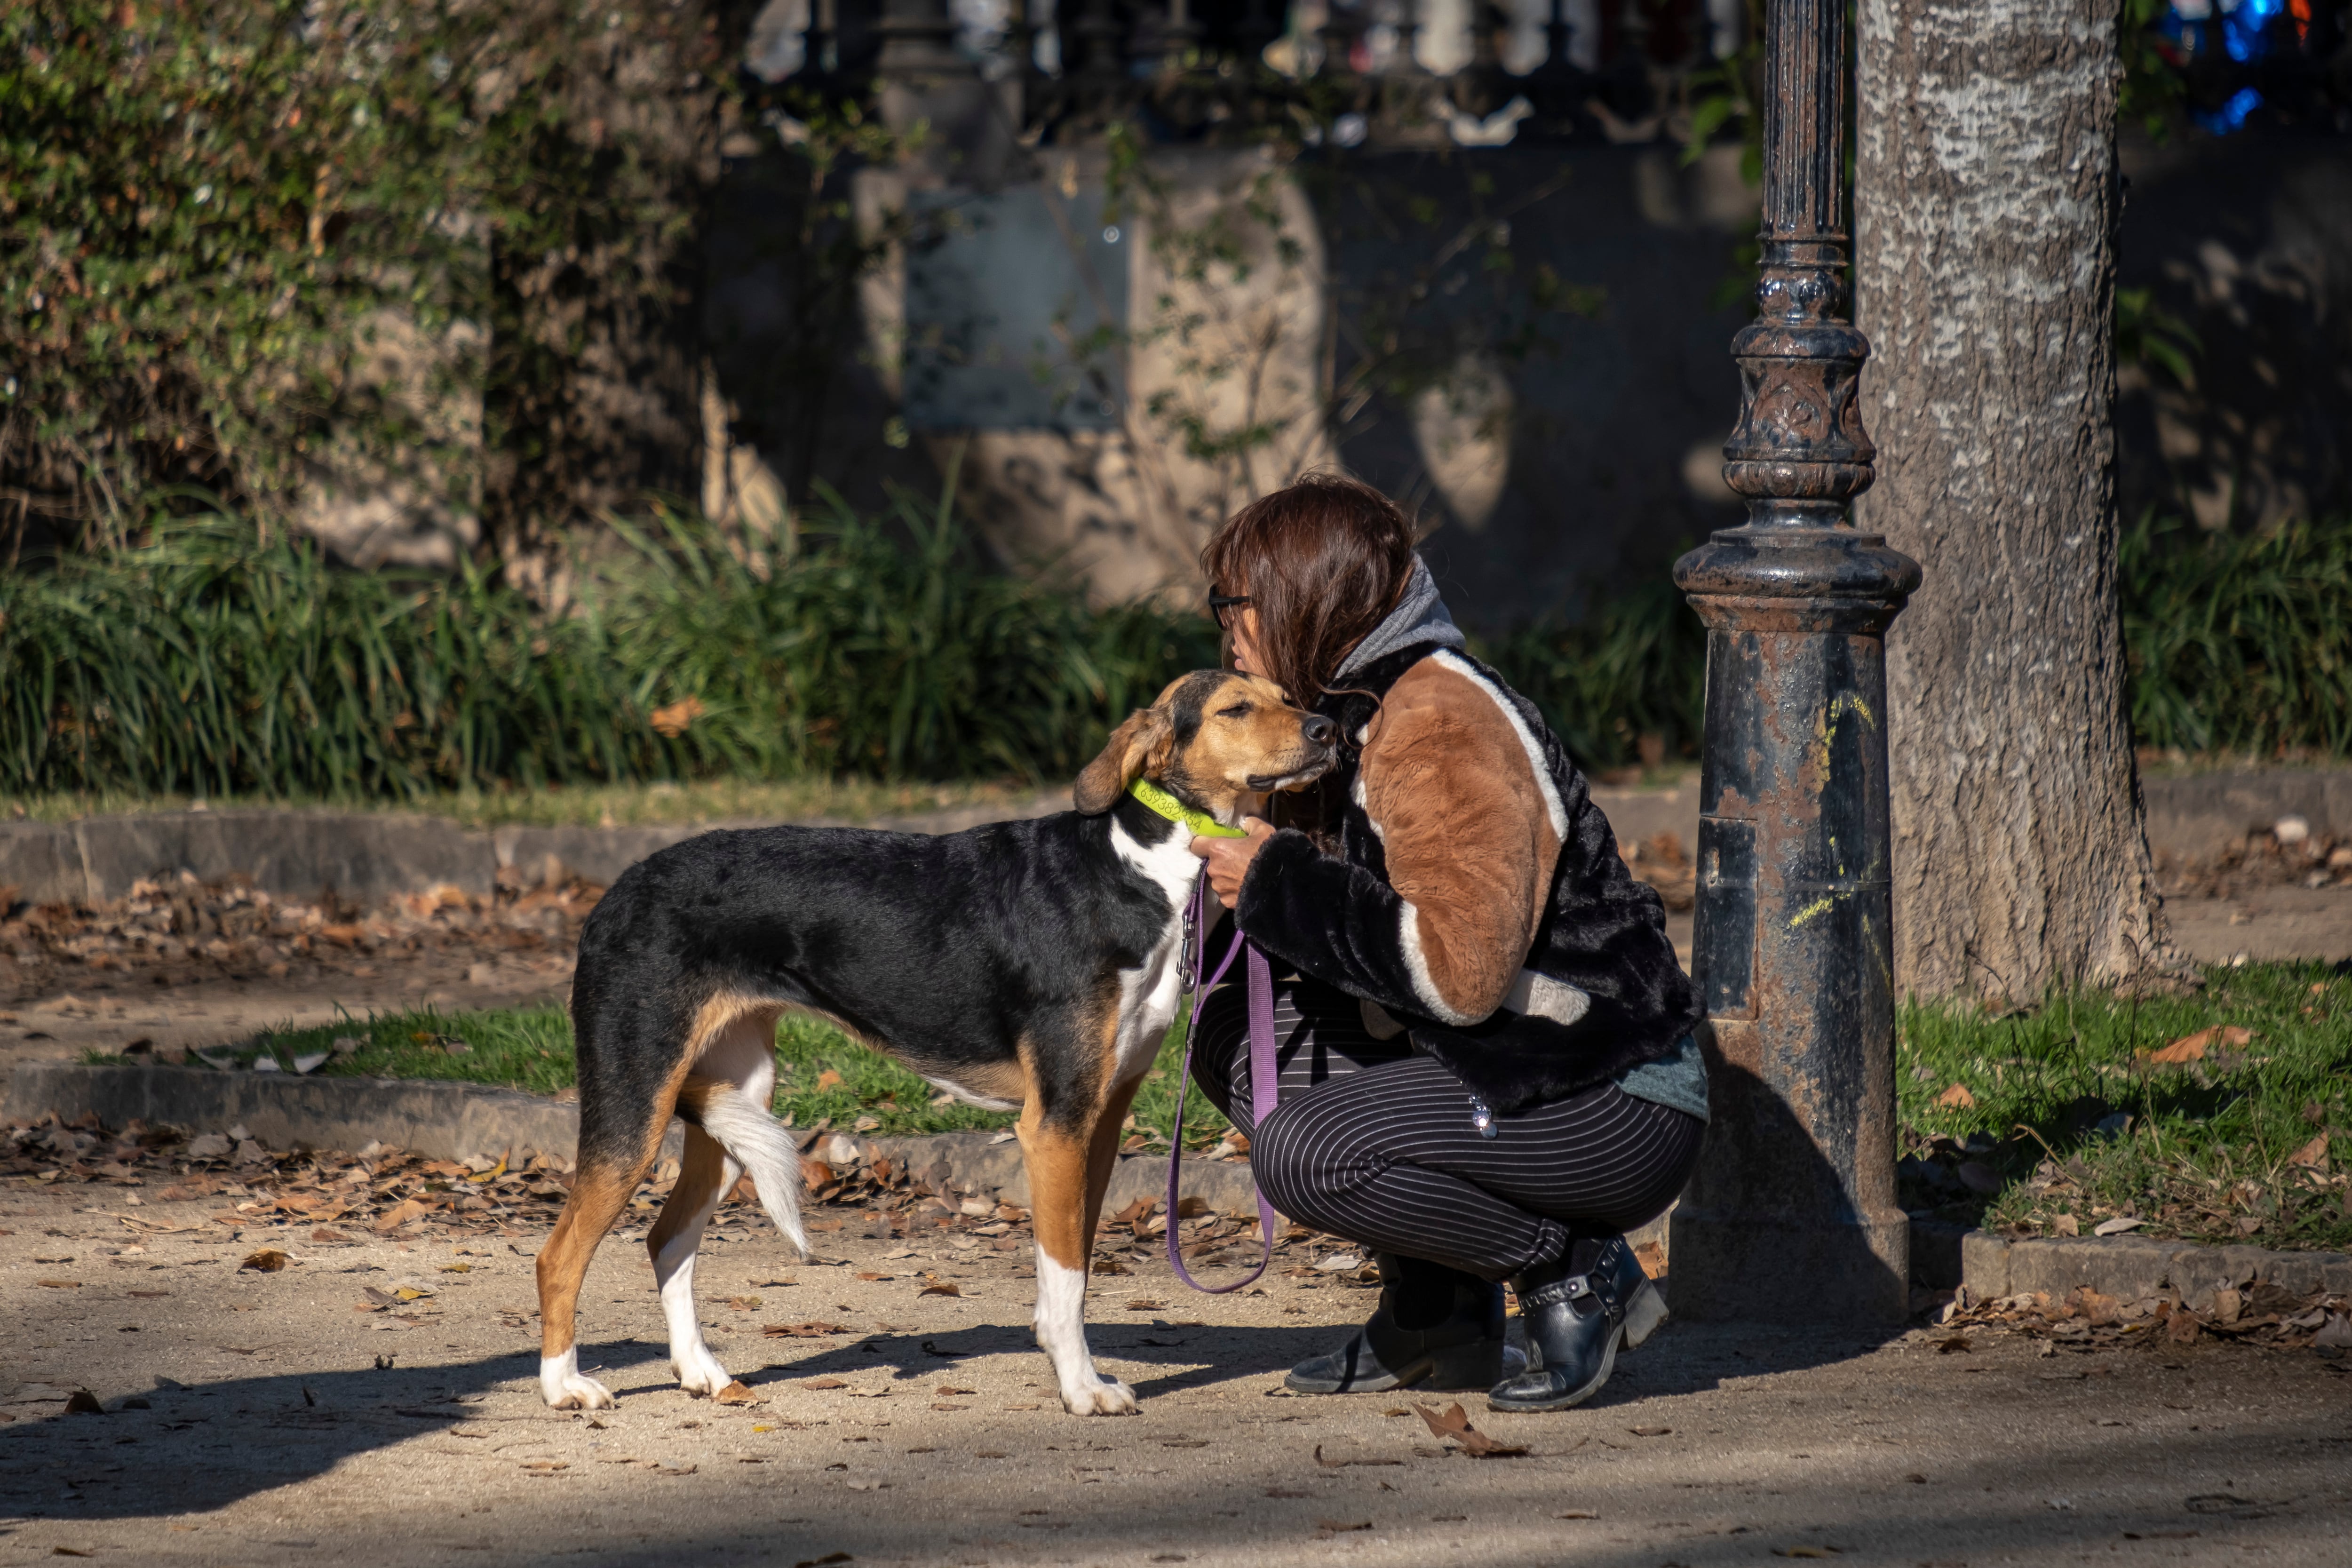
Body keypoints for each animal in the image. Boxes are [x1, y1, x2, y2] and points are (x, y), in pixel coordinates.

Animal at [539, 668, 1345, 1420]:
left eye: (1286, 695)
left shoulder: (1101, 1121)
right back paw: (564, 1386)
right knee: (559, 1256)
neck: (1136, 865)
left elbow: (1075, 1267)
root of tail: (614, 893)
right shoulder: (1054, 1126)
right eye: (1235, 708)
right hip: (633, 1108)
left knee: (667, 1240)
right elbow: (1064, 1273)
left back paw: (702, 1372)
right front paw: (1081, 1388)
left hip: (733, 1104)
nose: (1328, 730)